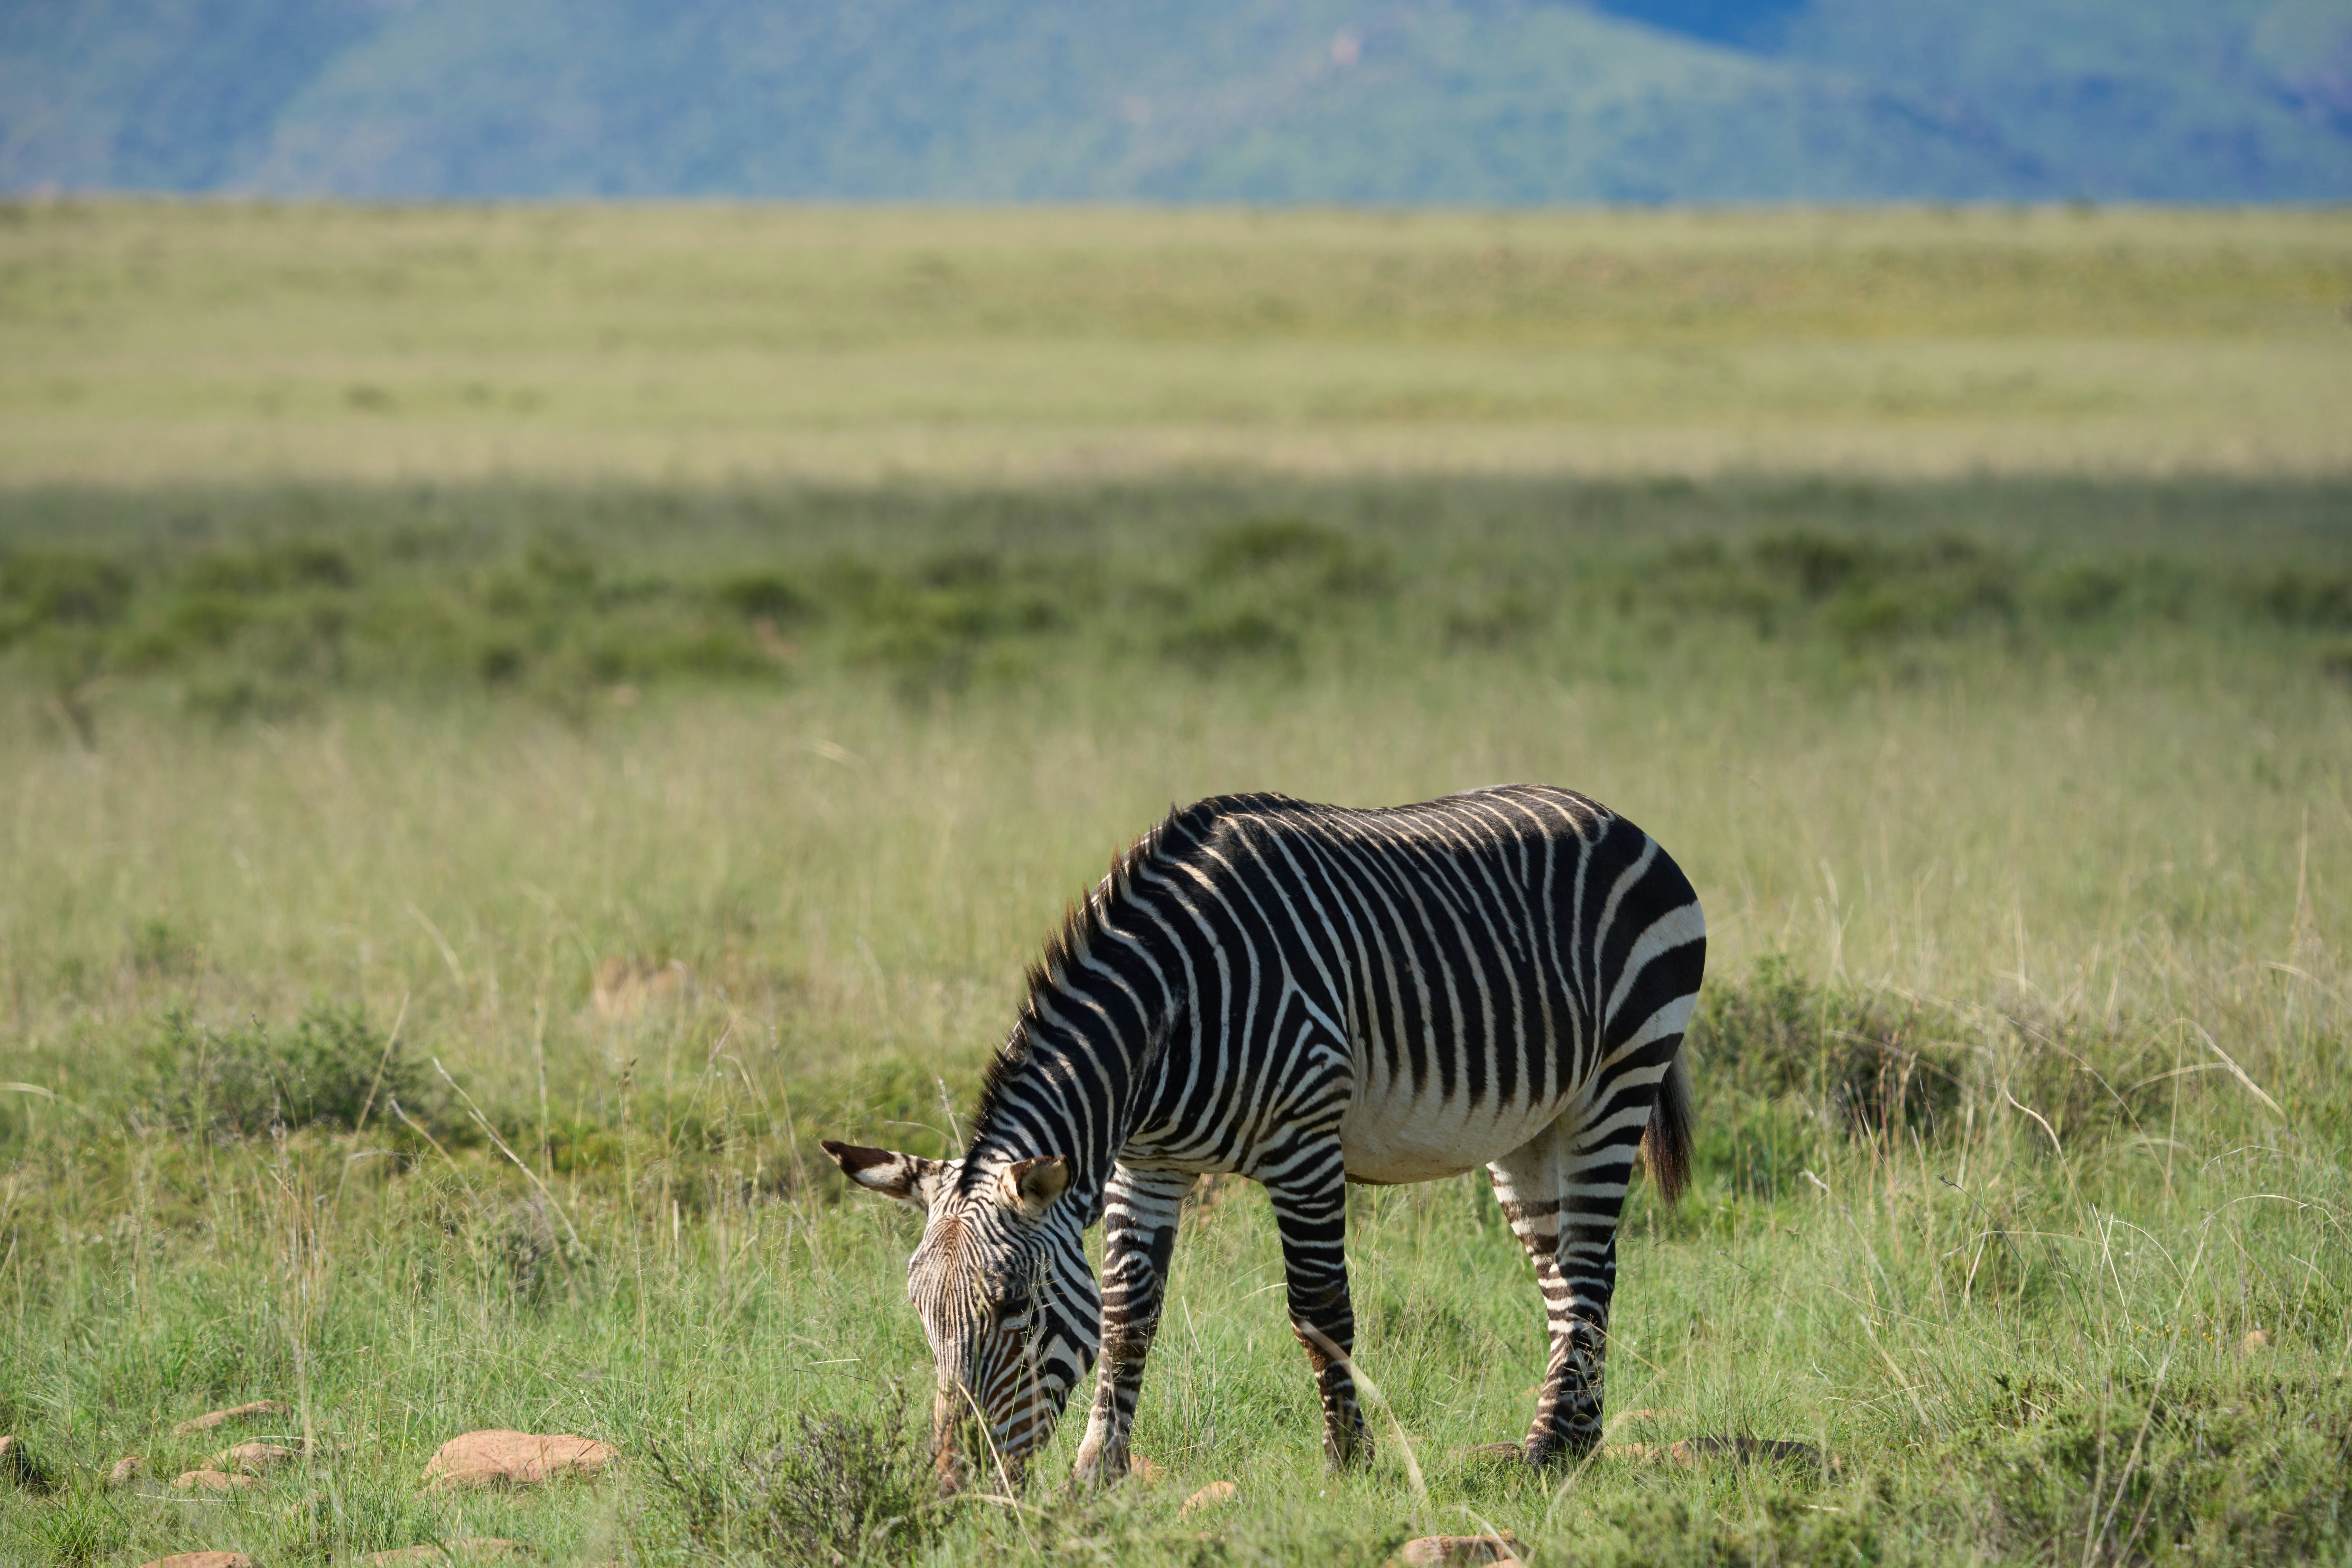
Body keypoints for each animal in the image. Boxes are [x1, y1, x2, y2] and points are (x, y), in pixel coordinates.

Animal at [822, 783, 1705, 1489]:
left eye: (1011, 1307)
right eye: (920, 1312)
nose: (952, 1487)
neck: (1168, 1015)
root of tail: (1612, 816)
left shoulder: (1303, 1142)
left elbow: (1319, 1311)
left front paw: (1349, 1463)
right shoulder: (1144, 1164)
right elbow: (1125, 1316)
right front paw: (1097, 1471)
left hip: (1614, 1083)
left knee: (1589, 1271)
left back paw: (1551, 1450)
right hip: (1530, 1128)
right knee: (1565, 1276)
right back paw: (1571, 1445)